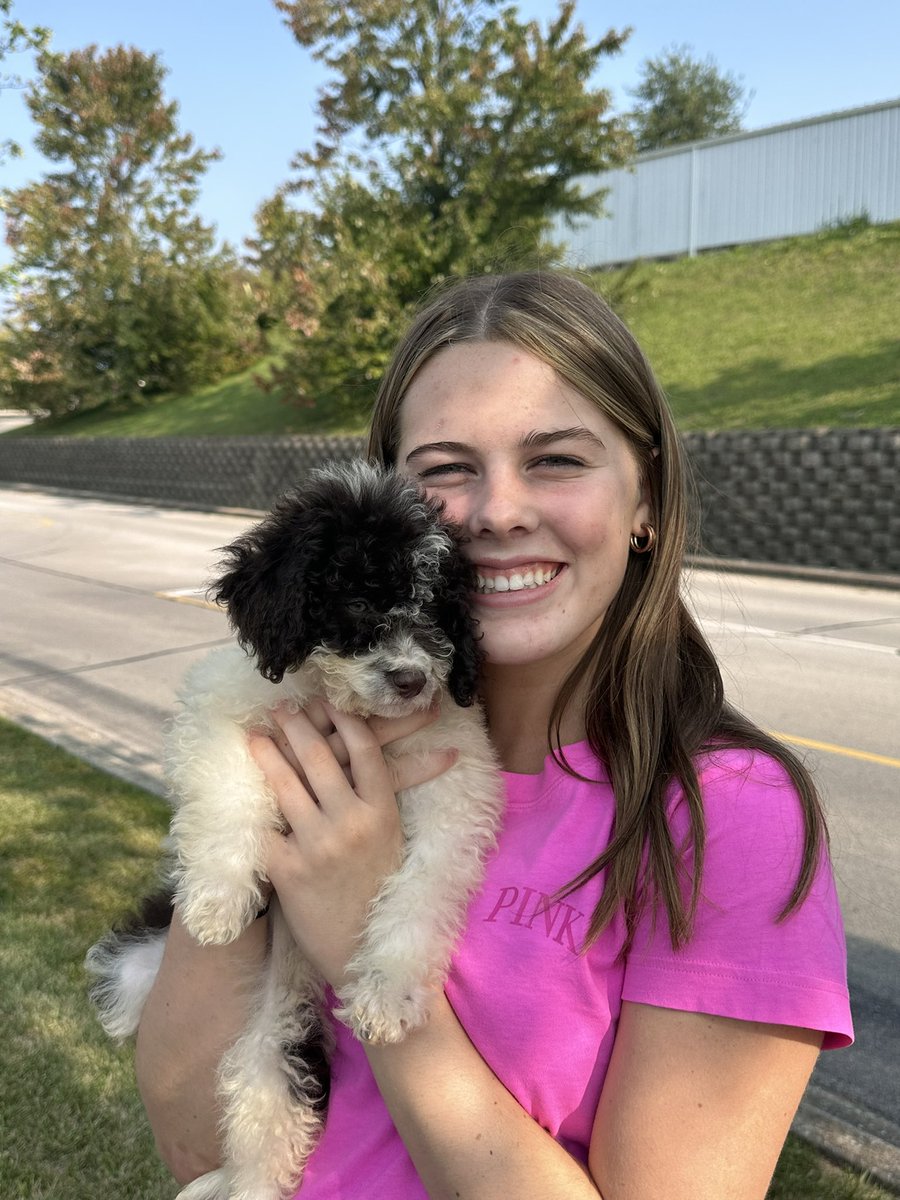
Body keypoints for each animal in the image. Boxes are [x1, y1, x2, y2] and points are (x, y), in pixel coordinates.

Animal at [87, 463, 504, 1200]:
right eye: (359, 601)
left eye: (437, 611)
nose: (411, 678)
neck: (343, 708)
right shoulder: (223, 708)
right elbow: (230, 791)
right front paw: (220, 901)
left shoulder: (455, 785)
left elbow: (424, 886)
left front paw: (389, 991)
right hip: (181, 988)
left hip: (277, 1051)